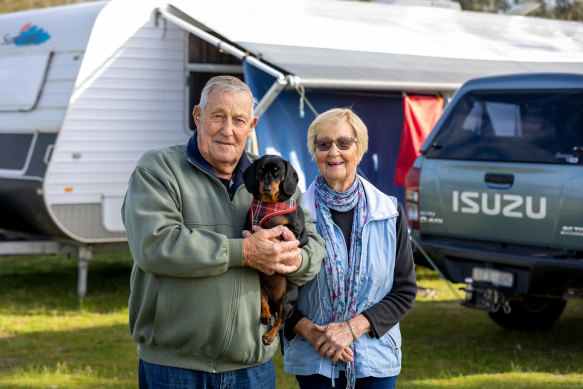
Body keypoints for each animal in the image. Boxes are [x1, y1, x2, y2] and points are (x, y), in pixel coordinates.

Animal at [243, 153, 310, 344]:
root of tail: (275, 303)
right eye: (259, 171)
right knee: (264, 302)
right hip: (260, 288)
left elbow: (281, 230)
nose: (265, 188)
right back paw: (265, 315)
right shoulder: (249, 226)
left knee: (280, 321)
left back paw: (269, 335)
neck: (269, 206)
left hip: (288, 298)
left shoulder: (297, 233)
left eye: (277, 172)